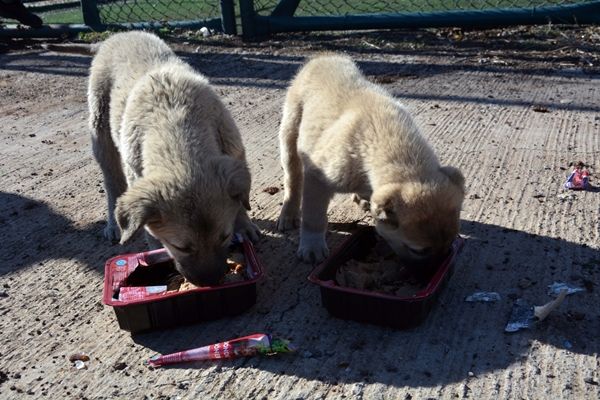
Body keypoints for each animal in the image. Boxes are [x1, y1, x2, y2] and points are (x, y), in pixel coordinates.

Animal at [90, 32, 258, 286]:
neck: (174, 120)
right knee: (111, 182)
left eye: (225, 236)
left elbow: (239, 201)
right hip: (100, 131)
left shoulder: (234, 156)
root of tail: (118, 35)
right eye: (181, 247)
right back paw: (113, 225)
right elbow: (150, 232)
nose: (210, 282)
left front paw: (244, 224)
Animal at [276, 53, 464, 266]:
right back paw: (288, 214)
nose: (437, 265)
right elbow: (313, 217)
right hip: (290, 133)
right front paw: (312, 247)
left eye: (451, 242)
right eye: (418, 250)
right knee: (293, 178)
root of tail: (323, 57)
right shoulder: (317, 178)